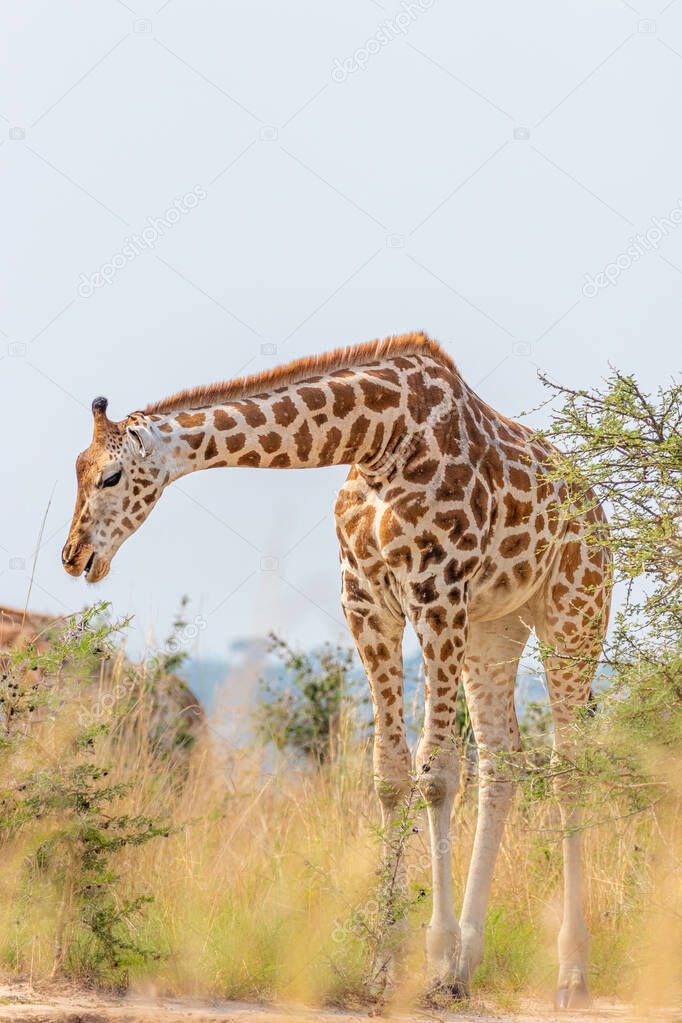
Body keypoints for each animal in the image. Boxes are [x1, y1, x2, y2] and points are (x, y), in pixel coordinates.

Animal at [61, 331, 609, 1002]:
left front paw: (433, 959)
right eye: (77, 469)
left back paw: (570, 975)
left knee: (569, 767)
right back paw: (469, 967)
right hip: (495, 630)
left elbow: (437, 773)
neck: (379, 440)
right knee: (504, 763)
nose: (74, 555)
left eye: (110, 475)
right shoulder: (367, 601)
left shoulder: (437, 594)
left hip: (574, 613)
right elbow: (390, 774)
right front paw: (387, 964)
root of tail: (596, 505)